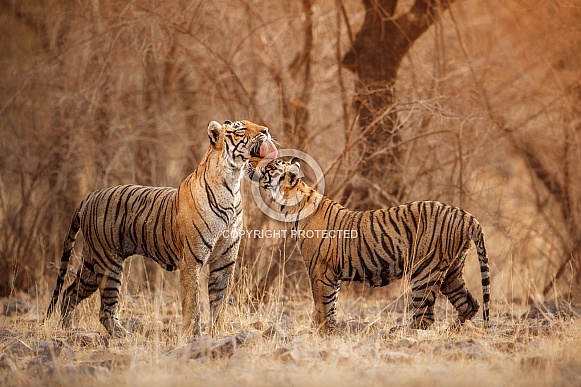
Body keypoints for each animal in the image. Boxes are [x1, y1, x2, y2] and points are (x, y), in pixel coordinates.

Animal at [46, 119, 278, 338]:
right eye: (240, 129)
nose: (266, 130)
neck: (232, 183)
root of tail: (89, 197)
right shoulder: (191, 261)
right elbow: (192, 303)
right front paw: (192, 336)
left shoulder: (224, 261)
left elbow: (219, 303)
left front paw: (217, 334)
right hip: (108, 263)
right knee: (105, 309)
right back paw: (124, 336)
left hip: (92, 264)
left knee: (69, 292)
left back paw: (68, 329)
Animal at [245, 158, 490, 334]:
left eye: (269, 166)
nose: (250, 162)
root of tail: (466, 215)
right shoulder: (331, 275)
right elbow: (330, 307)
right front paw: (329, 332)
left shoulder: (319, 271)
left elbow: (322, 307)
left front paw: (320, 333)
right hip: (451, 271)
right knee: (469, 304)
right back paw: (453, 331)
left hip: (425, 269)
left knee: (425, 316)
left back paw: (401, 333)